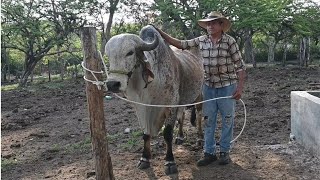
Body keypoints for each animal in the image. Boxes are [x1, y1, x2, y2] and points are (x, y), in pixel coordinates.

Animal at [106, 25, 204, 174]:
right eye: (108, 55)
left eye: (130, 52)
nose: (112, 84)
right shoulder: (141, 108)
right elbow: (145, 133)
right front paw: (144, 159)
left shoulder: (170, 106)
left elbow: (167, 134)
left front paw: (170, 162)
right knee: (181, 117)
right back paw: (180, 137)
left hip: (200, 94)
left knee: (198, 116)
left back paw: (200, 138)